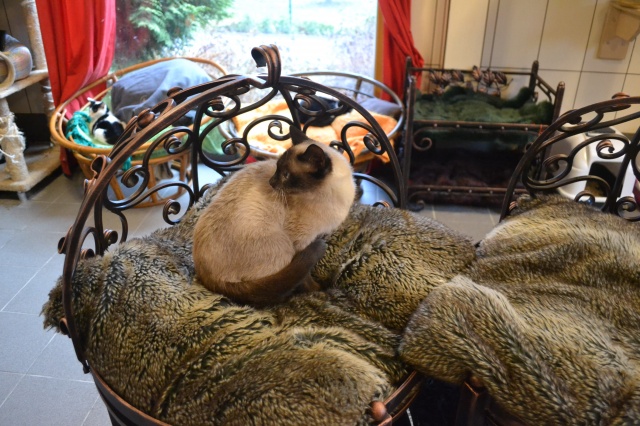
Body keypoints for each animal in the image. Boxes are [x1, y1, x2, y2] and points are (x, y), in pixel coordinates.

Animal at [192, 125, 356, 307]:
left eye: (286, 175)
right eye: (278, 170)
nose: (271, 182)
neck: (332, 198)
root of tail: (208, 279)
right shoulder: (300, 242)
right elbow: (306, 277)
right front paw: (317, 290)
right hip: (284, 247)